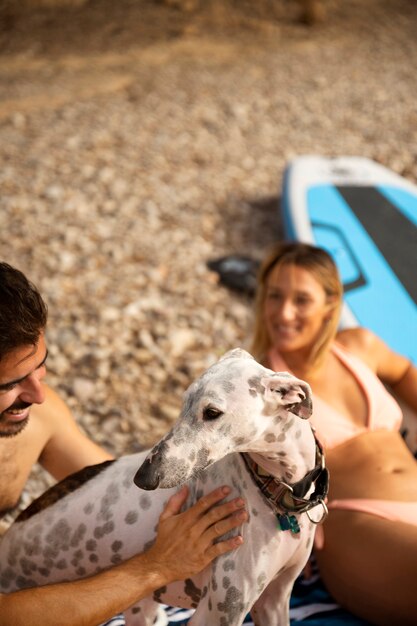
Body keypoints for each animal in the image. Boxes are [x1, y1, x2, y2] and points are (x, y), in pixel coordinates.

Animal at [0, 348, 326, 620]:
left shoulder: (274, 599)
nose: (143, 478)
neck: (277, 492)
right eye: (182, 403)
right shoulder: (220, 610)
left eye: (212, 413)